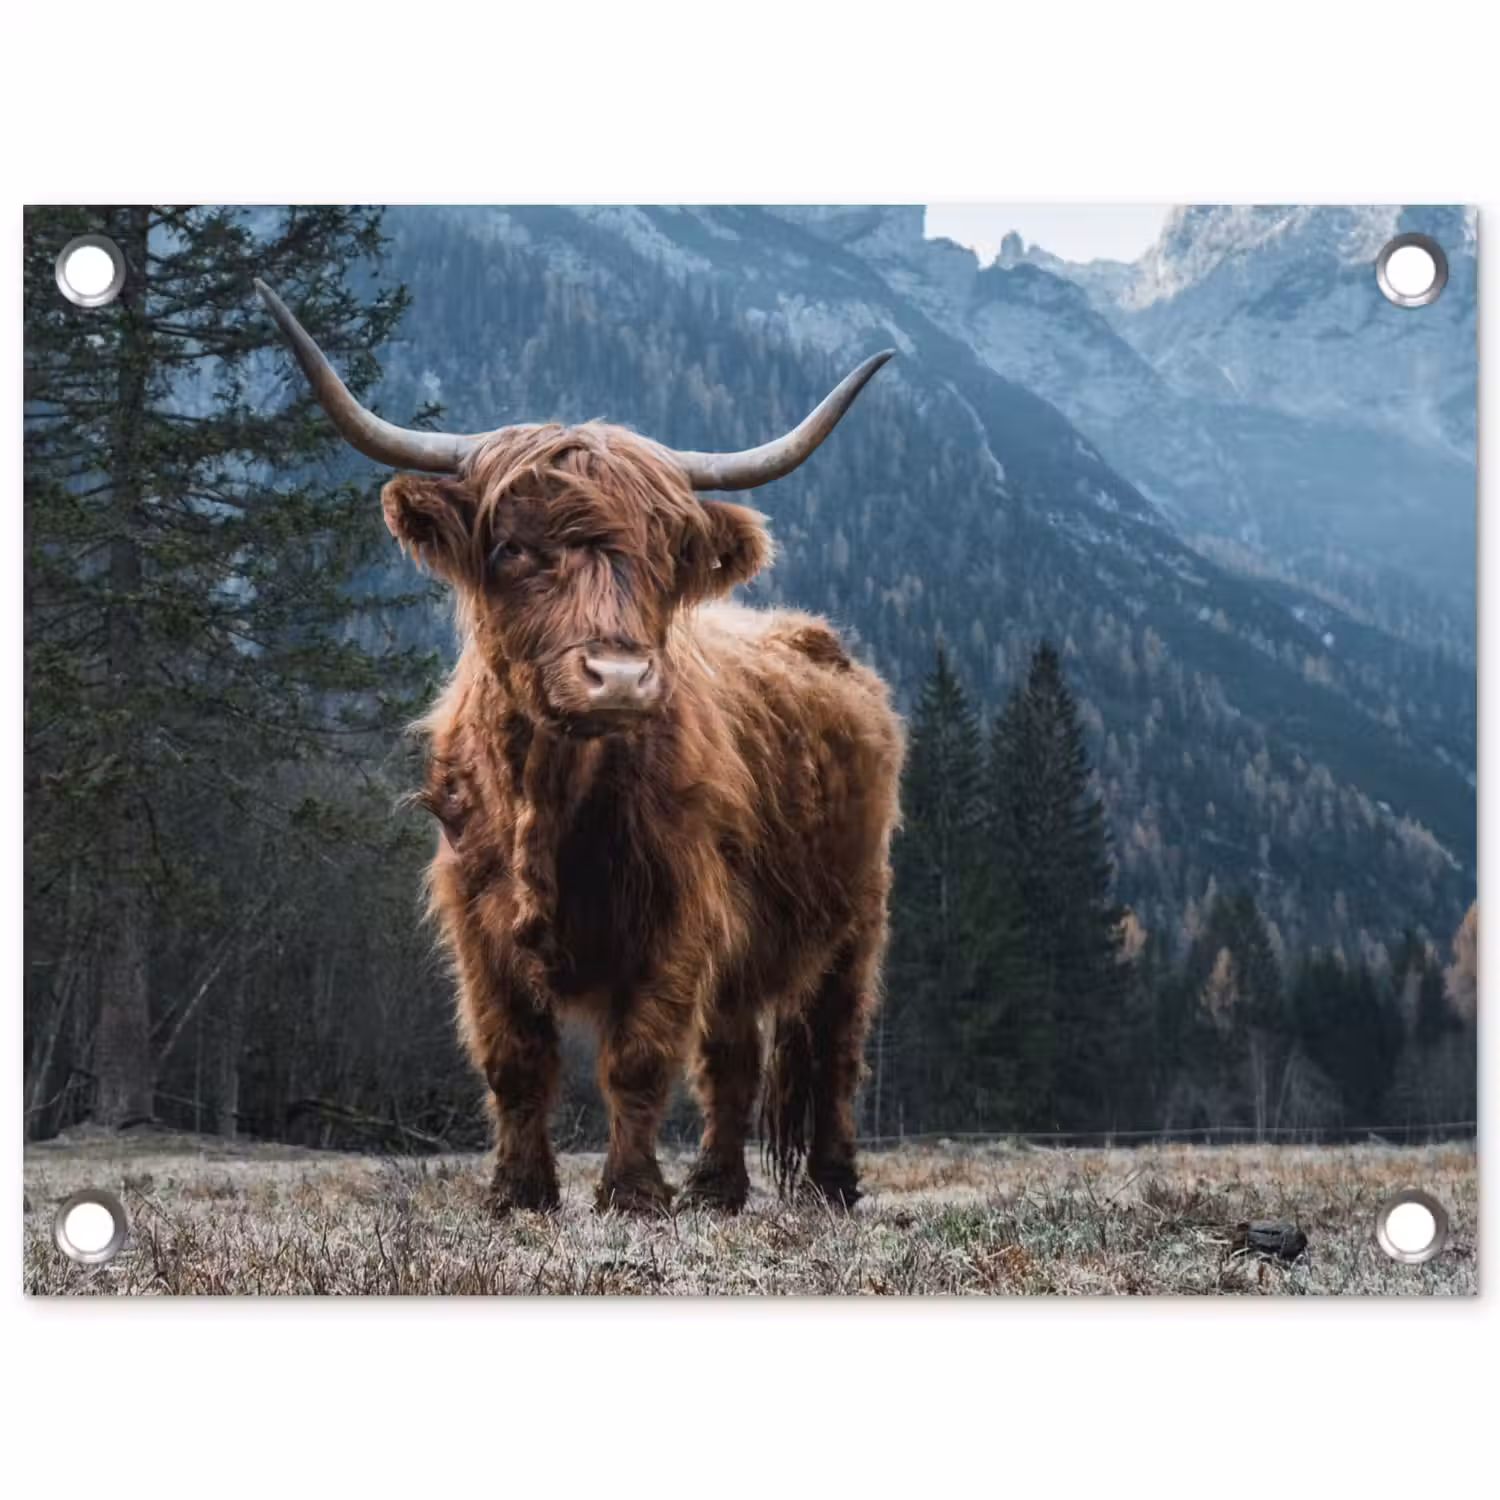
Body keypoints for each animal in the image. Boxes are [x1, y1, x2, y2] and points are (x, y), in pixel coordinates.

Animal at [257, 279, 903, 1215]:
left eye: (666, 555)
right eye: (513, 547)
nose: (621, 677)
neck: (551, 796)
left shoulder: (677, 913)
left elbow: (639, 1059)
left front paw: (631, 1193)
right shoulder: (477, 920)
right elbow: (515, 1060)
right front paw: (518, 1192)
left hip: (857, 917)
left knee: (836, 1050)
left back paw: (832, 1183)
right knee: (734, 1059)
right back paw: (717, 1186)